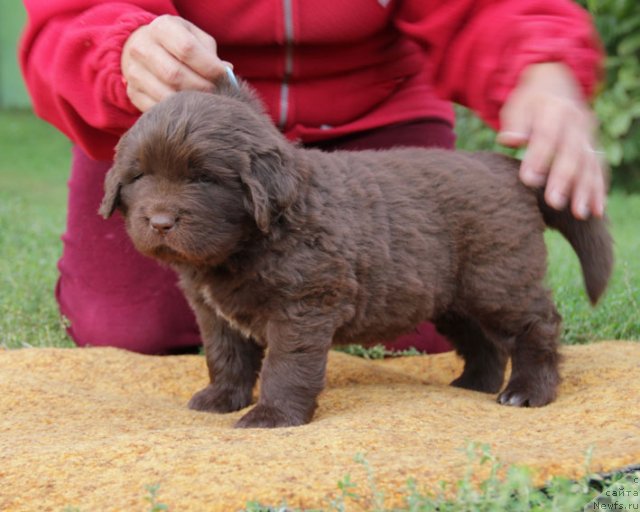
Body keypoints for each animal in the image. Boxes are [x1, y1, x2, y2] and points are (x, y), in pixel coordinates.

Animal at [99, 83, 608, 428]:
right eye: (139, 176)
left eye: (203, 178)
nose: (160, 221)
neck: (250, 242)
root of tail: (505, 166)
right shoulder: (215, 313)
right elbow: (226, 356)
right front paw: (221, 398)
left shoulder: (305, 303)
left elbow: (287, 364)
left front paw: (272, 416)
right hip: (450, 295)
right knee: (482, 340)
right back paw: (474, 384)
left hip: (498, 278)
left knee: (537, 326)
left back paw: (527, 392)